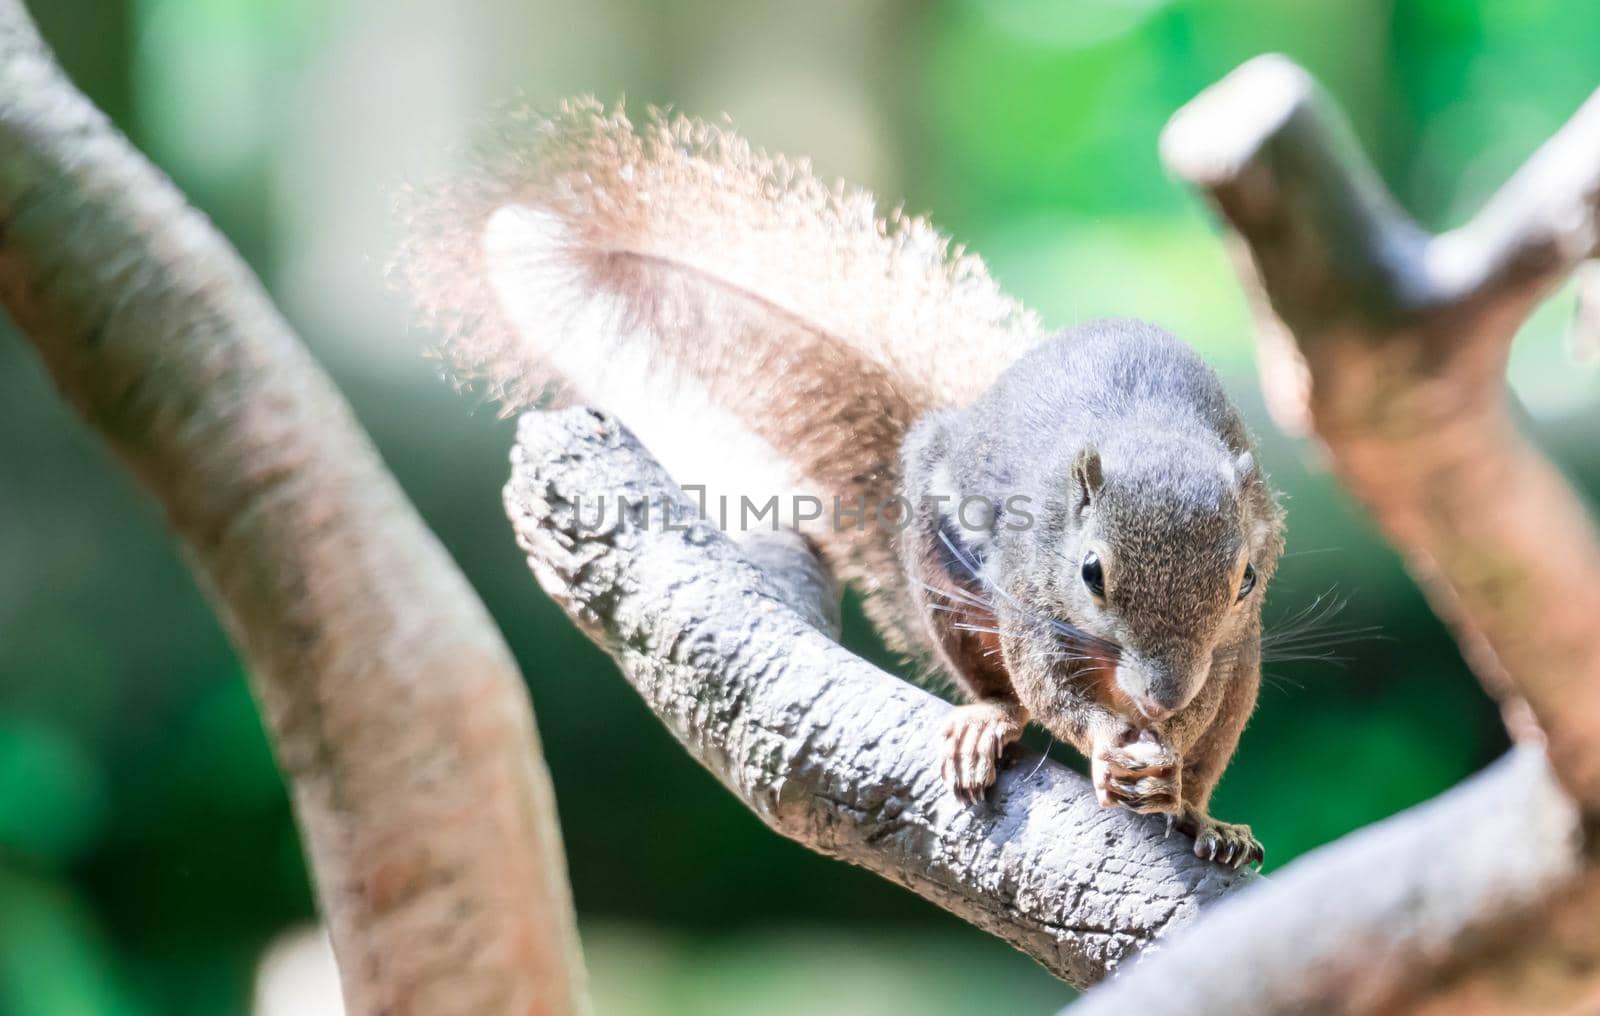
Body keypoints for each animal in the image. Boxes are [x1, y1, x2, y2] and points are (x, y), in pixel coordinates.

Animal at [400, 99, 1286, 870]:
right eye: (1091, 573)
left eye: (1246, 578)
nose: (1159, 697)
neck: (1147, 433)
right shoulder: (1031, 594)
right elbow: (1049, 686)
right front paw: (1109, 745)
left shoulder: (1231, 645)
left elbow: (1203, 715)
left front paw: (1168, 759)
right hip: (942, 580)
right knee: (1000, 689)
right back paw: (989, 723)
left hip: (1244, 669)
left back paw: (1203, 819)